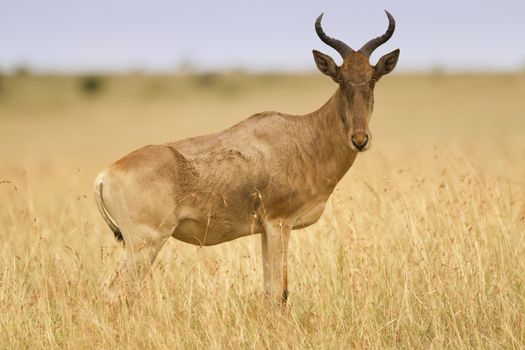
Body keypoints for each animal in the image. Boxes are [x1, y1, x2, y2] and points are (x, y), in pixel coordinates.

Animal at [93, 10, 398, 306]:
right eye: (341, 78)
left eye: (372, 78)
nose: (359, 139)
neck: (303, 136)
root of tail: (105, 175)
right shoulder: (279, 223)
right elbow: (279, 292)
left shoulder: (265, 229)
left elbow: (269, 290)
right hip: (145, 242)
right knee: (116, 293)